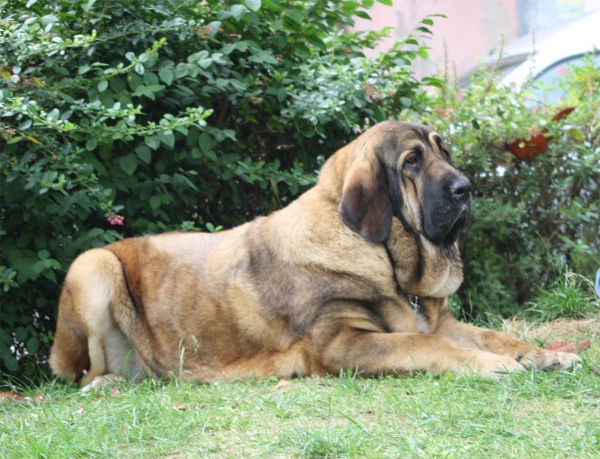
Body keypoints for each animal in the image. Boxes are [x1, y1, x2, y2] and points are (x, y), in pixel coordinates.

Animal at [50, 120, 580, 386]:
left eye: (442, 151)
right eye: (412, 161)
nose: (466, 188)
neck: (386, 256)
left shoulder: (441, 321)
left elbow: (494, 335)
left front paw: (542, 356)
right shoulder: (341, 341)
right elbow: (428, 345)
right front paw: (494, 366)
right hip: (92, 264)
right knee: (83, 374)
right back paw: (109, 383)